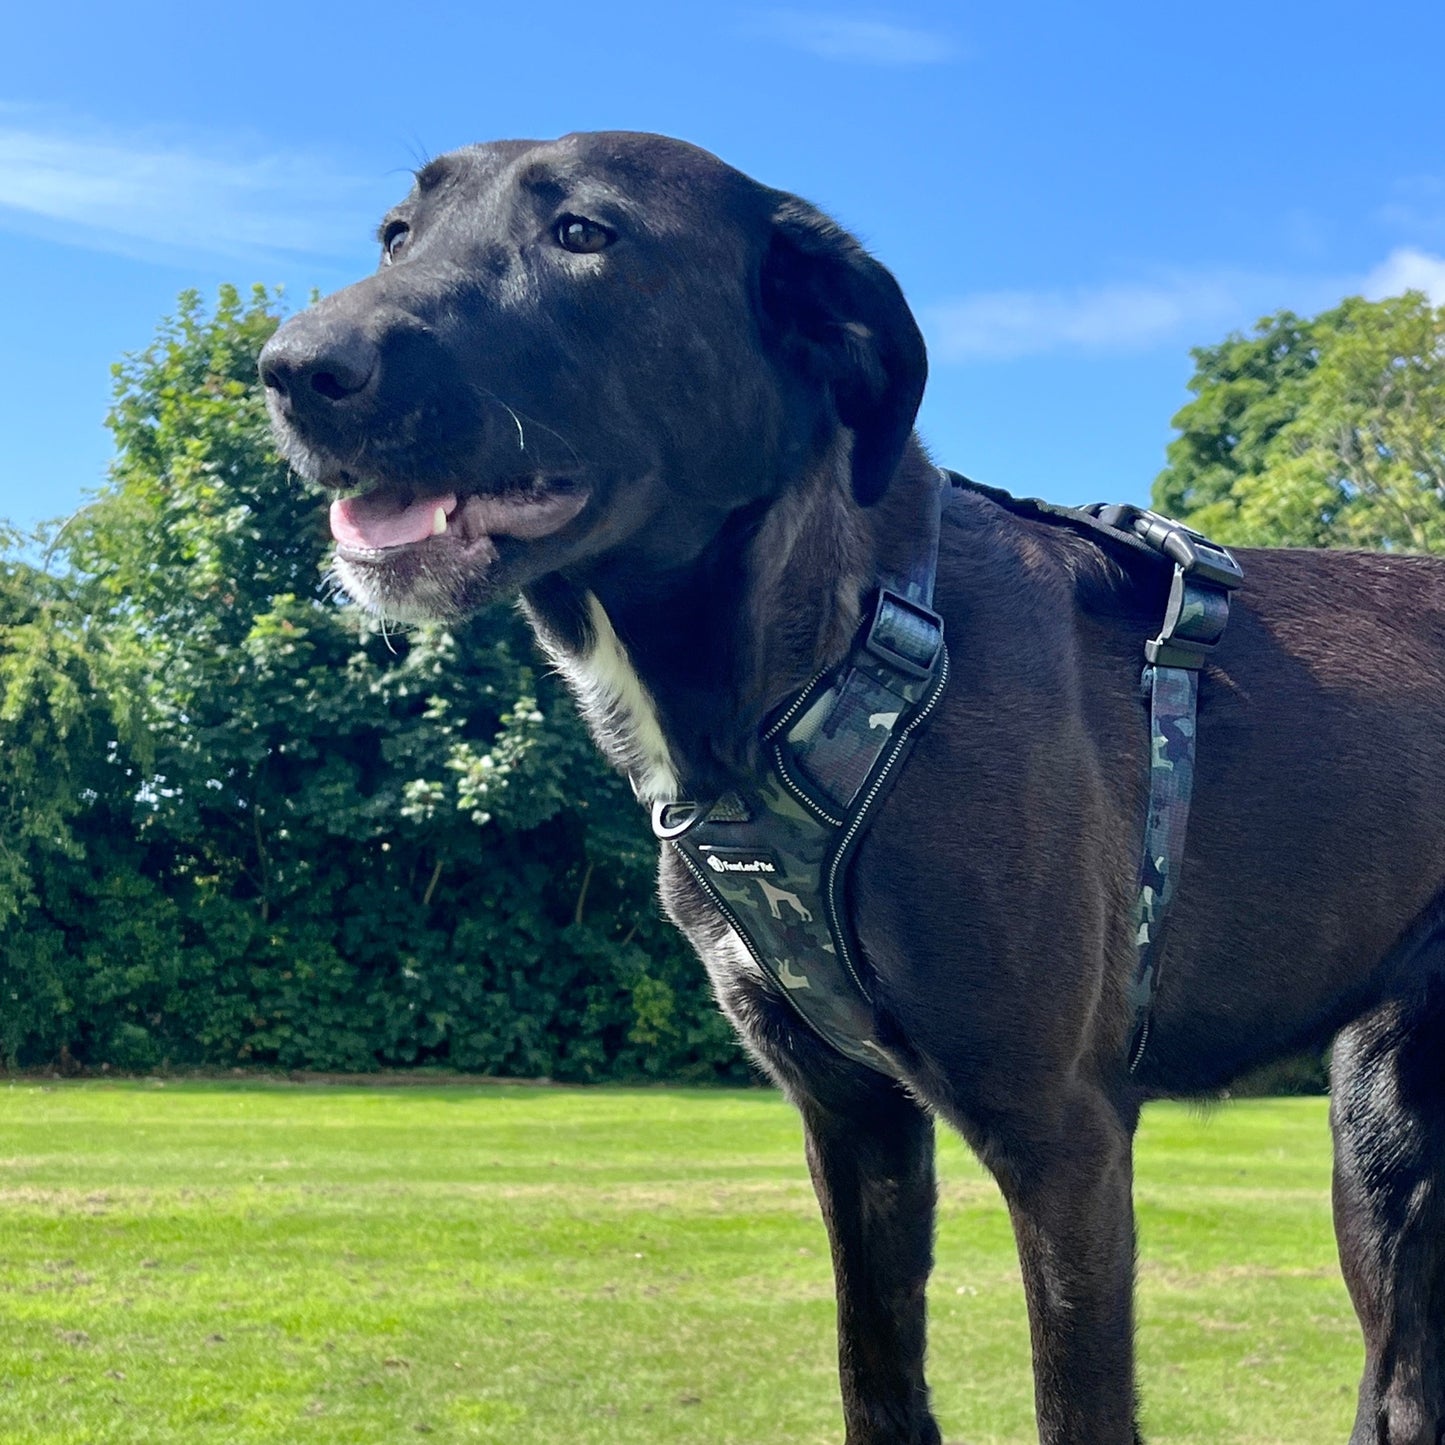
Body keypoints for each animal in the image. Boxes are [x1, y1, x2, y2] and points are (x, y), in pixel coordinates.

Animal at [260, 132, 1445, 1445]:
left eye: (582, 234)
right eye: (394, 236)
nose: (293, 367)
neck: (836, 655)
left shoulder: (1065, 1134)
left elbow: (1073, 1401)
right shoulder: (851, 1116)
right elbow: (873, 1379)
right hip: (1378, 1140)